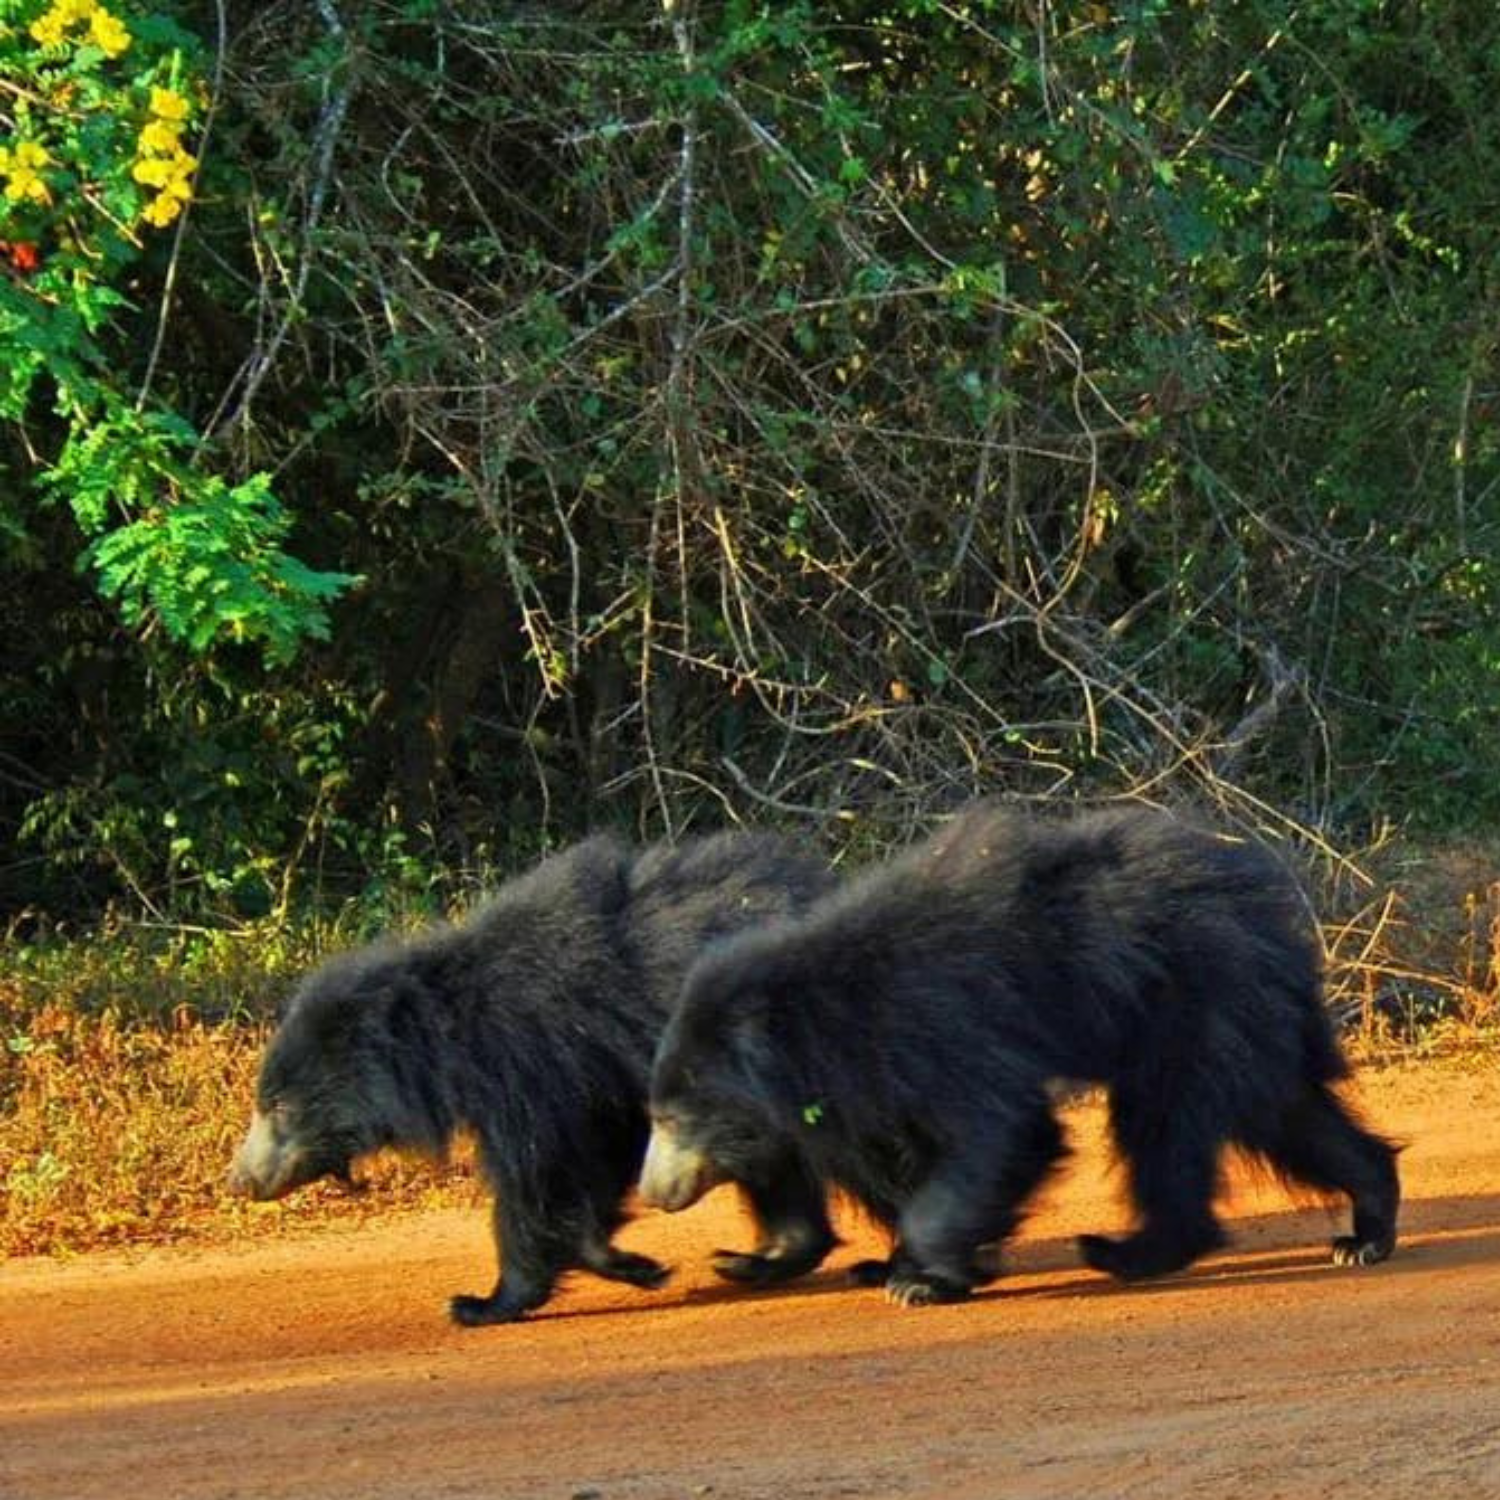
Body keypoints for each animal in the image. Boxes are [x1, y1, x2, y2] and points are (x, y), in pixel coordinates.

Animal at [228, 830, 837, 1324]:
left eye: (278, 1108)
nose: (240, 1180)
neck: (449, 1031)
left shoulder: (533, 1062)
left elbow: (537, 1174)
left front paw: (482, 1303)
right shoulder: (595, 1081)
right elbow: (597, 1158)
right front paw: (628, 1263)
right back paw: (760, 1259)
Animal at [640, 801, 1400, 1307]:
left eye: (674, 1120)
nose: (652, 1193)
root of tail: (1267, 903)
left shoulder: (947, 1029)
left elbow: (1005, 1134)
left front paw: (923, 1280)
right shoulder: (879, 1080)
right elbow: (911, 1156)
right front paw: (891, 1267)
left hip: (1195, 1000)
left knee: (1168, 1127)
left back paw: (1127, 1250)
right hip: (1235, 1011)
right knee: (1284, 1110)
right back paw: (1365, 1228)